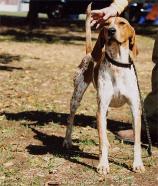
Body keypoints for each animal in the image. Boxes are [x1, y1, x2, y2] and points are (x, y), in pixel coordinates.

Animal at [62, 3, 144, 175]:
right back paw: (67, 141)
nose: (111, 31)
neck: (117, 64)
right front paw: (103, 165)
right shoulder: (100, 108)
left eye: (122, 23)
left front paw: (137, 164)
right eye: (106, 24)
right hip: (77, 97)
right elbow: (101, 142)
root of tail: (89, 53)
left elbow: (137, 142)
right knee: (70, 119)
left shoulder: (135, 109)